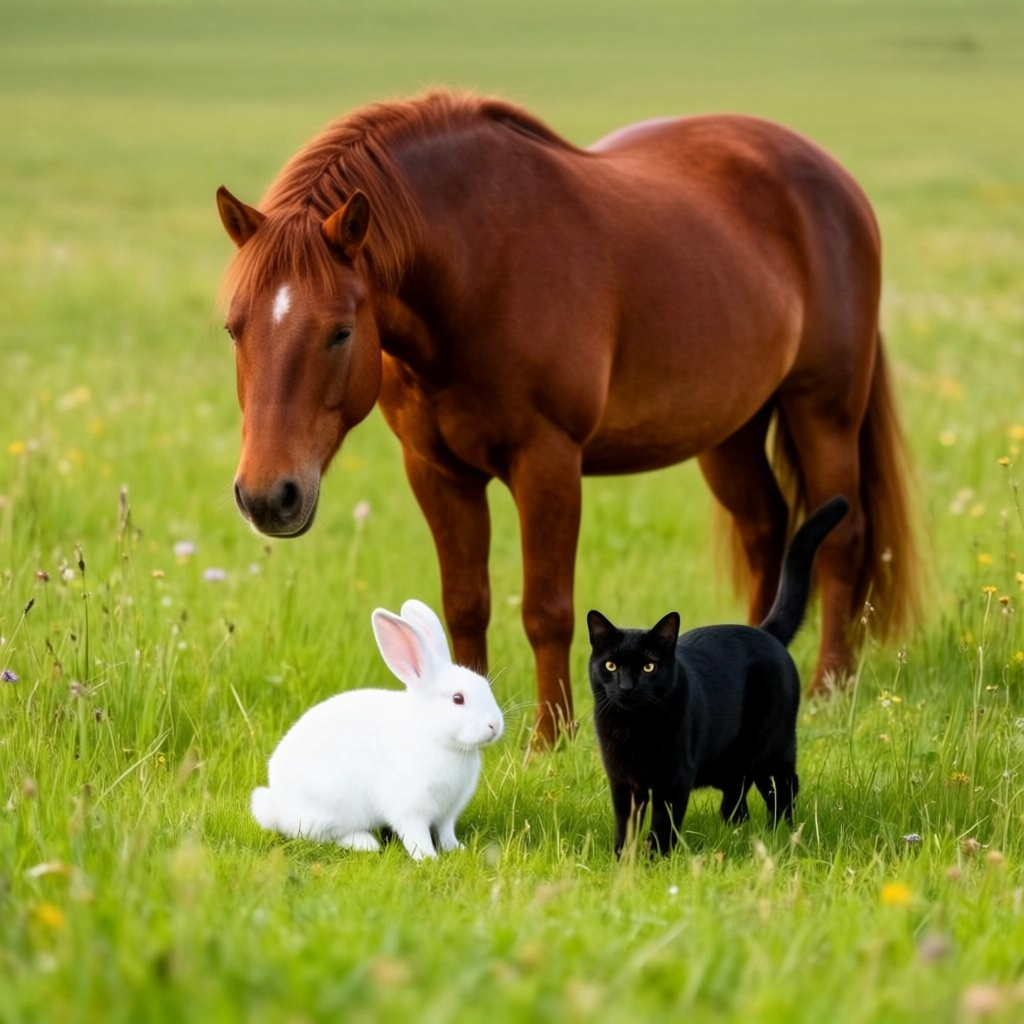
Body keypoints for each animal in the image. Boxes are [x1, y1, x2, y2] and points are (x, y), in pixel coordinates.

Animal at [216, 90, 919, 744]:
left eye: (339, 332)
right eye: (232, 328)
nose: (268, 496)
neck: (477, 264)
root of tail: (831, 176)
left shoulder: (548, 460)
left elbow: (547, 608)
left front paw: (551, 739)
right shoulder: (437, 471)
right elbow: (465, 602)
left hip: (823, 409)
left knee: (842, 539)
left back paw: (830, 686)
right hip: (731, 432)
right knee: (764, 529)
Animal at [250, 599, 504, 859]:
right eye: (457, 699)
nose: (494, 725)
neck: (436, 739)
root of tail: (279, 808)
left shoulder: (447, 813)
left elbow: (446, 833)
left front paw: (457, 850)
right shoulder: (410, 810)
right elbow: (417, 836)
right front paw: (429, 859)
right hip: (329, 810)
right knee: (322, 835)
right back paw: (366, 843)